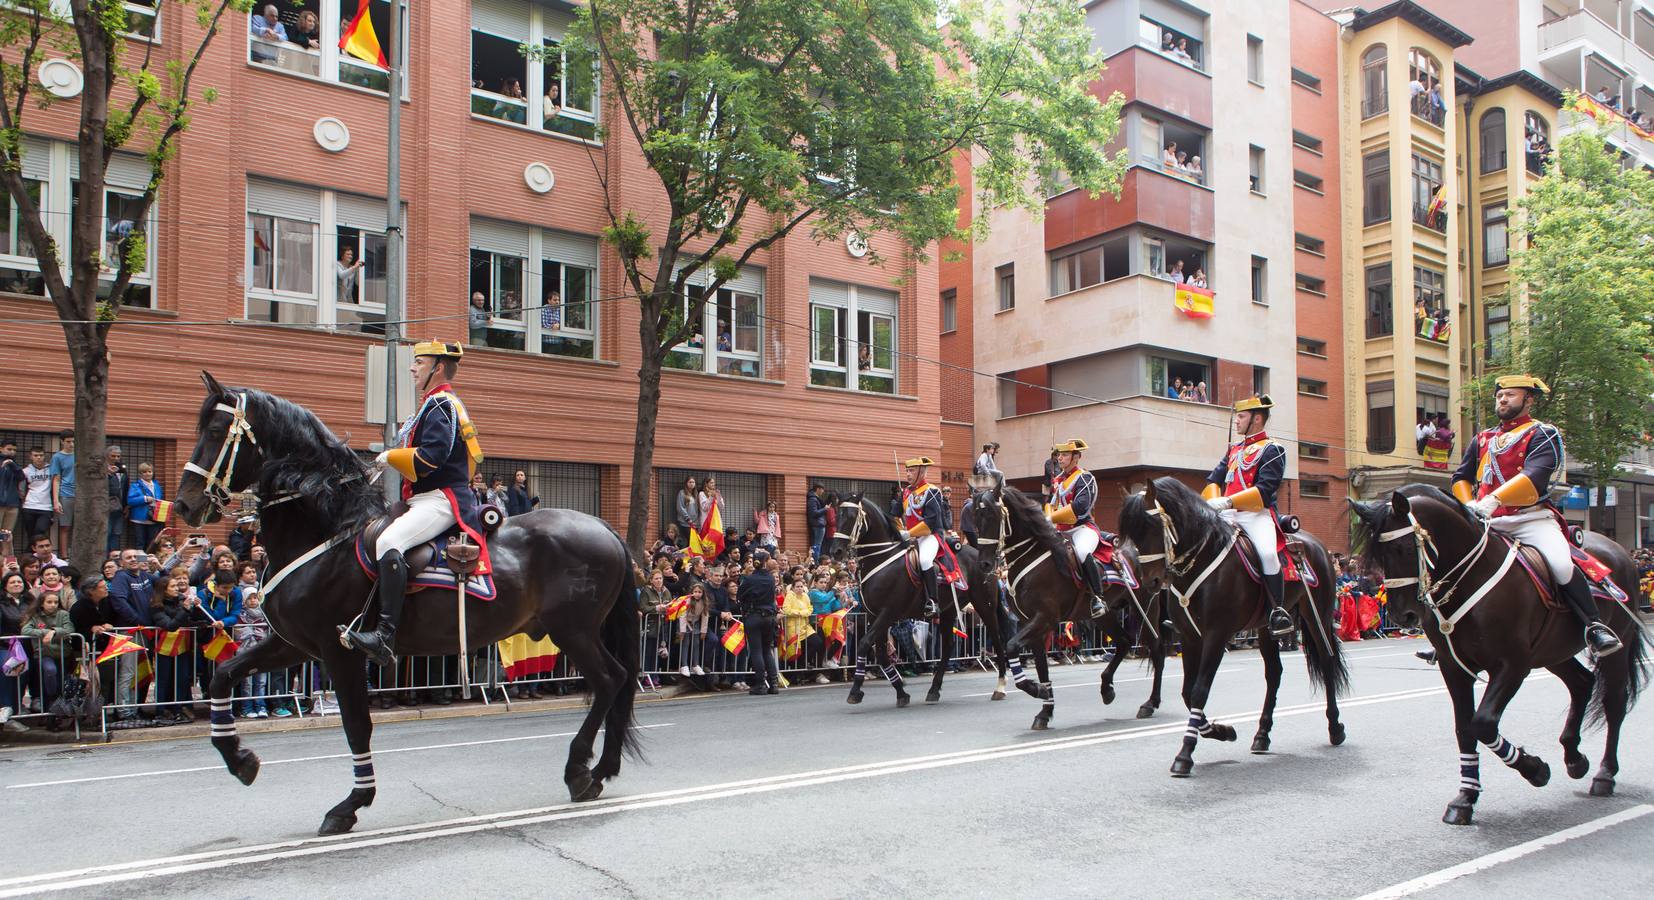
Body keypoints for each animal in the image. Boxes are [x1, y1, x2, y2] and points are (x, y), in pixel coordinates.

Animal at [174, 372, 638, 837]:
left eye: (215, 432)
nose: (184, 504)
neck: (325, 533)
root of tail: (603, 527)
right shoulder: (292, 644)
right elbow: (223, 677)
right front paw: (239, 759)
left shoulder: (338, 650)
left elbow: (357, 725)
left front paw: (351, 803)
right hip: (577, 631)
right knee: (616, 681)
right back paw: (600, 770)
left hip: (573, 630)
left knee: (609, 680)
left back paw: (581, 770)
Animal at [820, 496, 999, 708]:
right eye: (836, 516)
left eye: (851, 516)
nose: (836, 551)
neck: (882, 558)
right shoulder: (874, 615)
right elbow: (881, 653)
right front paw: (900, 691)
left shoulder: (888, 612)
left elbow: (864, 644)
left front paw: (855, 690)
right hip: (948, 611)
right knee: (947, 647)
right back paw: (934, 689)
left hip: (985, 605)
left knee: (997, 638)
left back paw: (1001, 686)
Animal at [965, 483, 1171, 727]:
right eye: (975, 516)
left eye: (993, 515)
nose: (985, 564)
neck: (1031, 556)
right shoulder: (1032, 624)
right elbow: (1041, 666)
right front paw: (1045, 710)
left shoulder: (1045, 618)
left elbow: (1011, 646)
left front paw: (1036, 689)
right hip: (1104, 615)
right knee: (1124, 641)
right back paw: (1107, 688)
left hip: (1145, 607)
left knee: (1156, 649)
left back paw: (1150, 703)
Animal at [1118, 473, 1349, 777]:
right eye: (1132, 534)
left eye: (1154, 526)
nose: (1151, 582)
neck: (1201, 558)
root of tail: (1315, 544)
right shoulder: (1190, 637)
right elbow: (1188, 692)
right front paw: (1222, 730)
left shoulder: (1216, 636)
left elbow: (1199, 691)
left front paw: (1185, 754)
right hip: (1265, 628)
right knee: (1274, 673)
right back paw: (1262, 735)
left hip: (1316, 614)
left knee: (1326, 660)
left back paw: (1335, 727)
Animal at [1349, 486, 1647, 823]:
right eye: (1377, 556)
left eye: (1404, 548)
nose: (1404, 615)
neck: (1470, 579)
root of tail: (1618, 551)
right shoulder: (1454, 668)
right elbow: (1465, 729)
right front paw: (1465, 798)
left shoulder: (1512, 665)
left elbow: (1483, 723)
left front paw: (1535, 770)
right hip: (1552, 651)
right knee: (1582, 683)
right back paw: (1574, 758)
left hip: (1616, 645)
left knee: (1614, 703)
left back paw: (1604, 774)